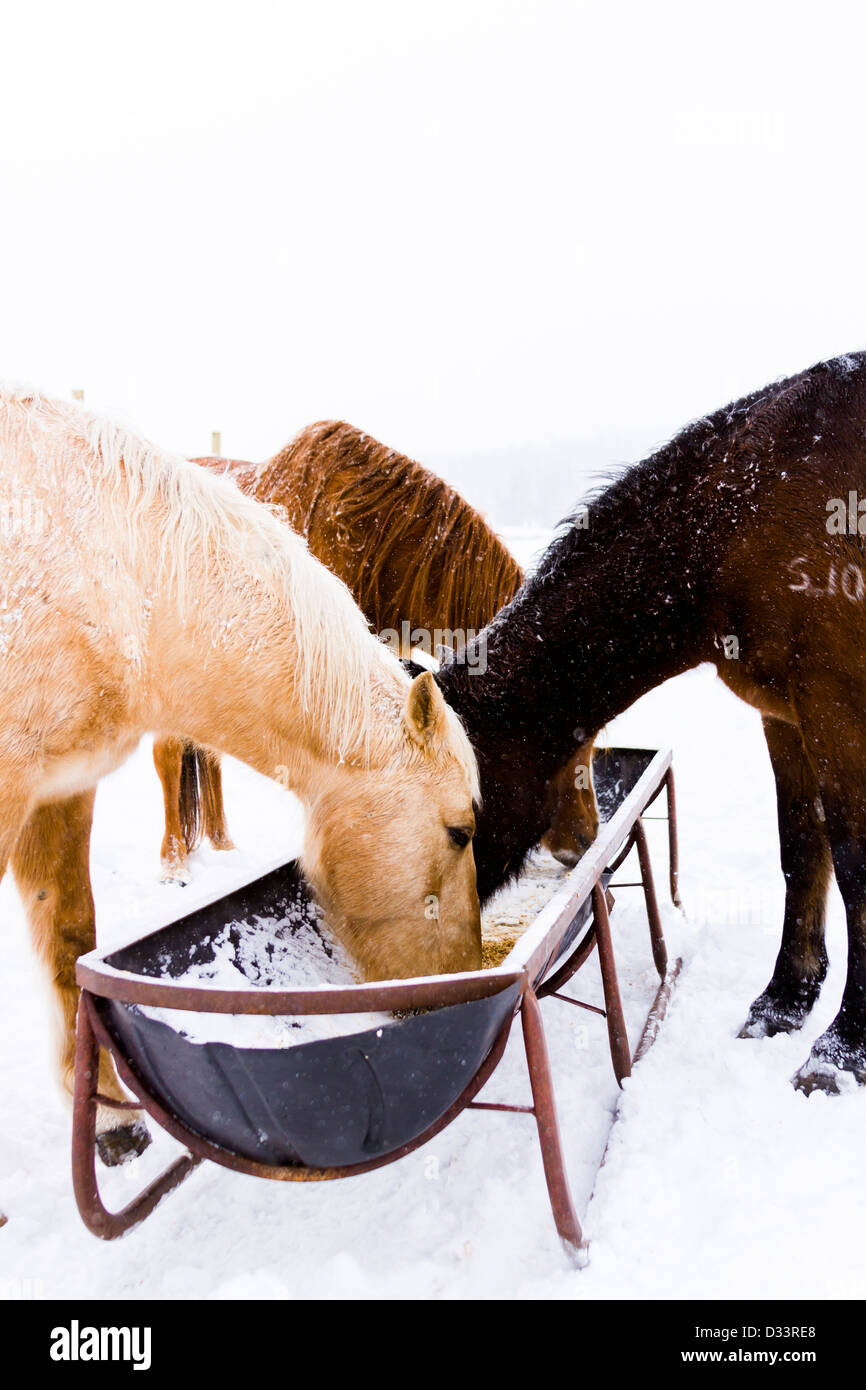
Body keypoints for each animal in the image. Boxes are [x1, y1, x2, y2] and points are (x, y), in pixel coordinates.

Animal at [0, 389, 481, 1164]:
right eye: (460, 830)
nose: (459, 979)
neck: (108, 569)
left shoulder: (59, 788)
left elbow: (69, 936)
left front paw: (108, 1119)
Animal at [152, 421, 598, 884]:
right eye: (570, 739)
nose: (585, 841)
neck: (369, 544)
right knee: (168, 754)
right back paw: (173, 864)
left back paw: (224, 845)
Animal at [436, 351, 866, 1096]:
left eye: (457, 825)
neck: (744, 513)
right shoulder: (786, 716)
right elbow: (801, 850)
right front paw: (784, 1000)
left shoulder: (838, 709)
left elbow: (859, 871)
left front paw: (843, 1051)